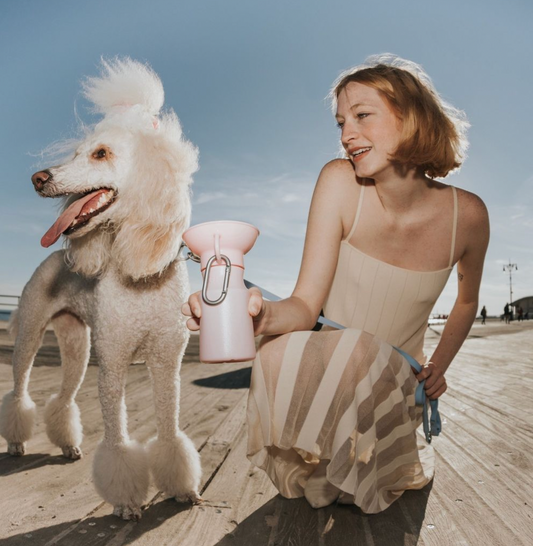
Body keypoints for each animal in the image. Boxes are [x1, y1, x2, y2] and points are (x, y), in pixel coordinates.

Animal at [0, 58, 202, 520]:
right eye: (78, 152)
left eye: (101, 153)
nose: (38, 178)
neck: (142, 277)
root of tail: (52, 260)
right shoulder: (113, 364)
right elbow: (117, 440)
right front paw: (127, 501)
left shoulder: (166, 362)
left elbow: (169, 431)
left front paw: (181, 487)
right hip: (30, 339)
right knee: (19, 392)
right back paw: (17, 440)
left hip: (77, 345)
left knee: (62, 398)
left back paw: (69, 445)